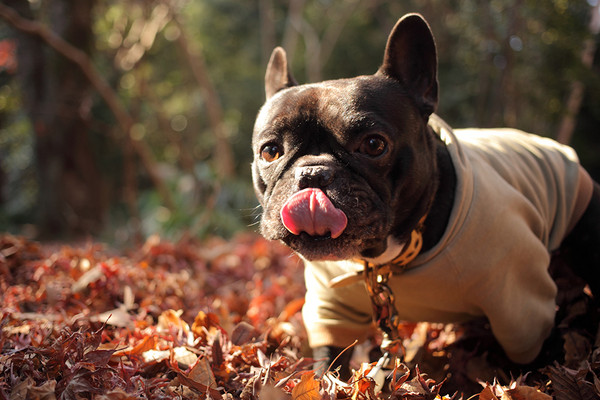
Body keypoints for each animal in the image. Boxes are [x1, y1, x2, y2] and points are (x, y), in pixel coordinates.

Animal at [250, 11, 600, 376]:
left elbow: (530, 364)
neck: (389, 257)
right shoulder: (330, 310)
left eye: (373, 145)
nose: (313, 172)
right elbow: (329, 363)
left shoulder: (521, 309)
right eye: (270, 152)